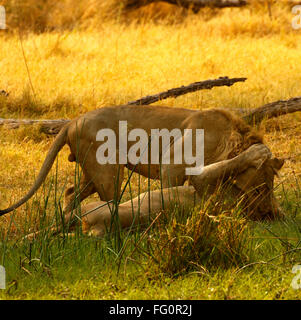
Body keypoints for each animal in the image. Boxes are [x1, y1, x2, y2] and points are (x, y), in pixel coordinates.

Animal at [0, 105, 282, 220]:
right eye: (262, 188)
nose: (272, 214)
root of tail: (72, 121)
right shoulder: (172, 163)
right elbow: (170, 191)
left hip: (93, 174)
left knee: (70, 192)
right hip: (107, 172)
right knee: (108, 202)